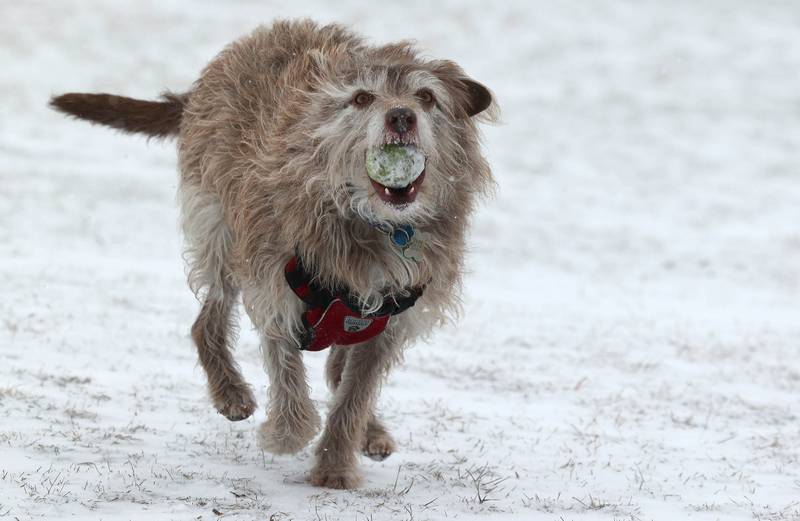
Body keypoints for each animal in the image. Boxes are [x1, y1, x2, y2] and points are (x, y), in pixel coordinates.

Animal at [51, 17, 494, 488]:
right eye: (362, 97)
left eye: (426, 97)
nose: (401, 116)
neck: (369, 223)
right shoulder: (274, 285)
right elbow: (287, 373)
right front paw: (286, 435)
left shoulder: (387, 320)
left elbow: (353, 396)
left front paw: (335, 465)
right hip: (222, 239)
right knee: (206, 321)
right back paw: (230, 391)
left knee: (337, 369)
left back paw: (369, 431)